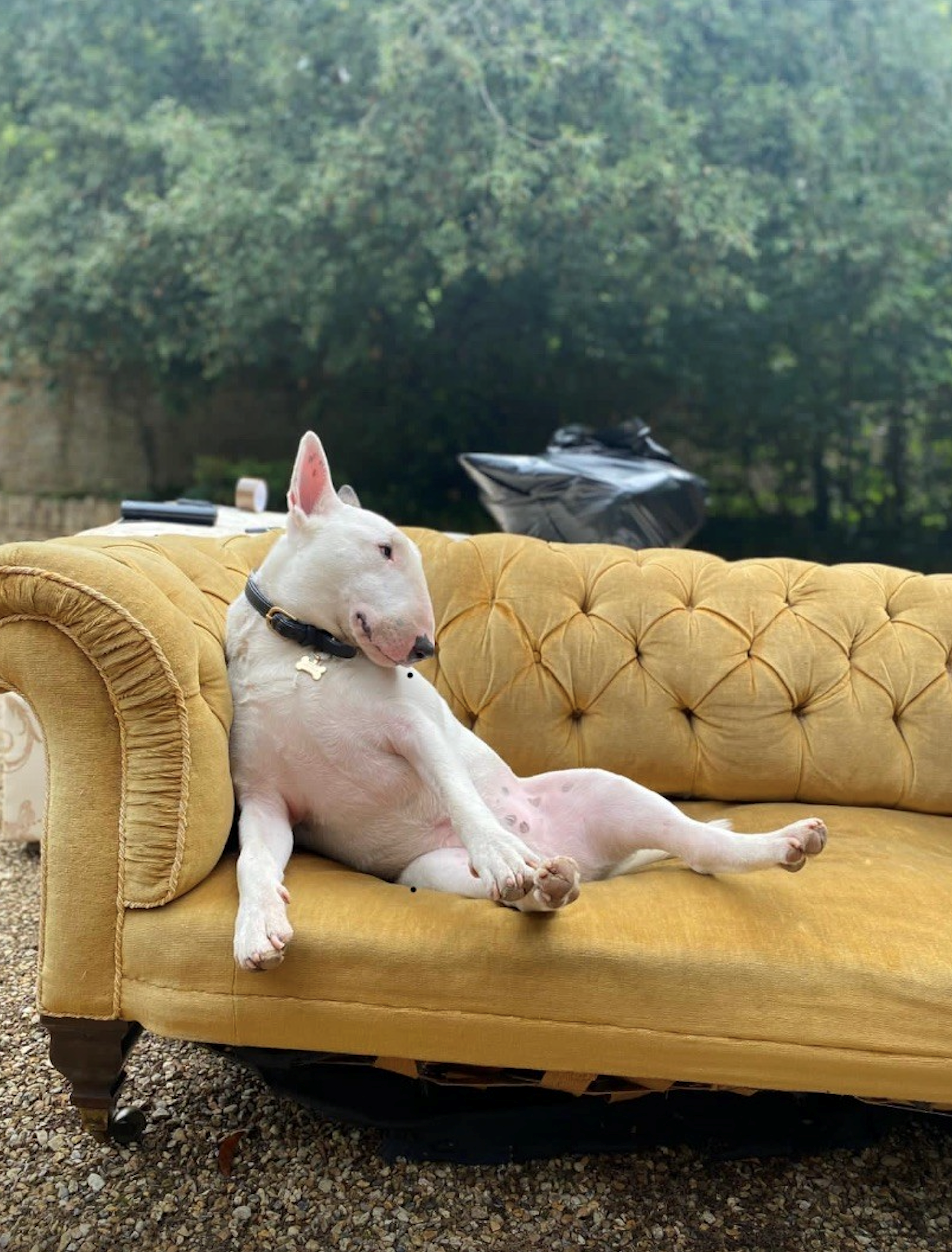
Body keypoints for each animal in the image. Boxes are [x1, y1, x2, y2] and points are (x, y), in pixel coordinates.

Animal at [222, 435, 826, 971]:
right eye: (385, 549)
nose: (424, 649)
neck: (305, 648)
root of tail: (587, 860)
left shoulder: (415, 729)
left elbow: (460, 793)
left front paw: (501, 851)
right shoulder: (265, 798)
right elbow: (253, 860)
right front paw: (257, 927)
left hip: (613, 792)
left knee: (700, 845)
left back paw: (784, 841)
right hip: (427, 871)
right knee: (506, 893)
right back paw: (547, 885)